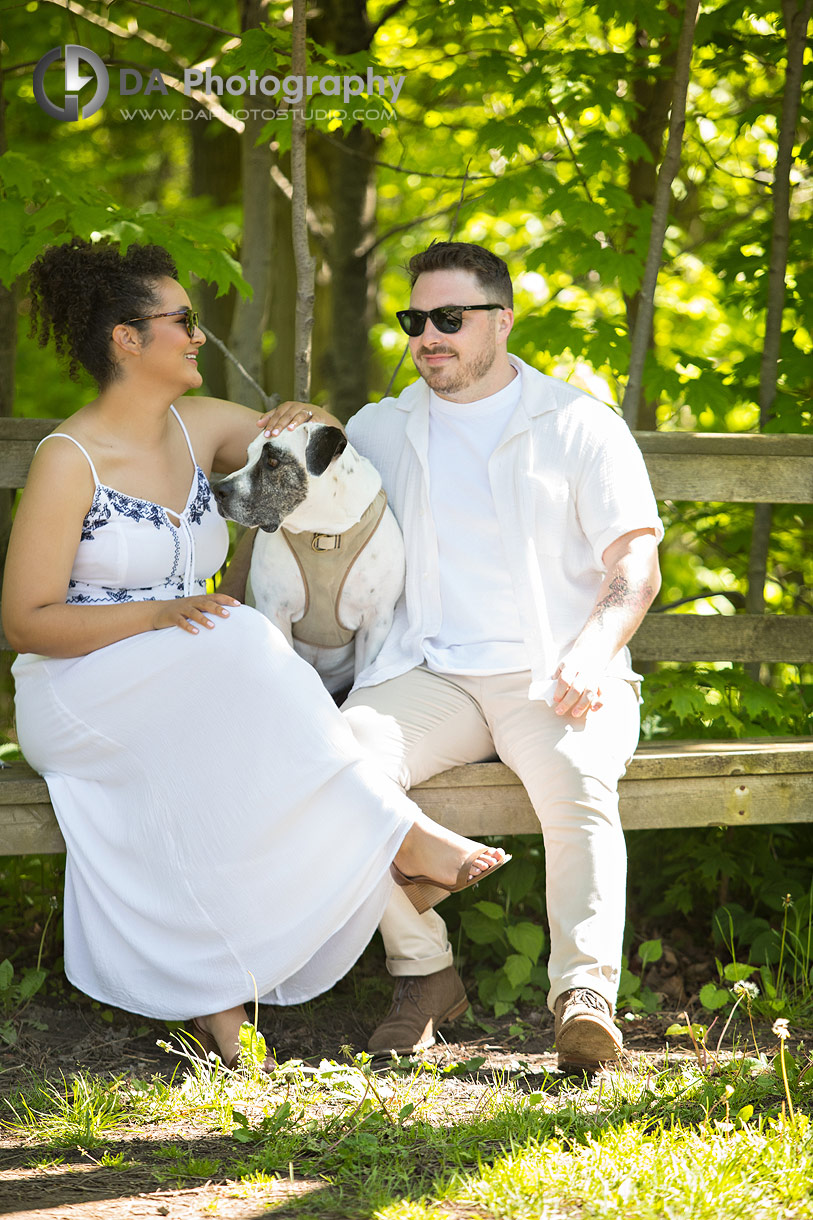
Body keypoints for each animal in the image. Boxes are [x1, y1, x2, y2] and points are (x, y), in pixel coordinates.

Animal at [213, 422, 402, 697]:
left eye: (272, 461)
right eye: (247, 457)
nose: (218, 490)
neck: (323, 533)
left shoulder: (375, 624)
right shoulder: (275, 612)